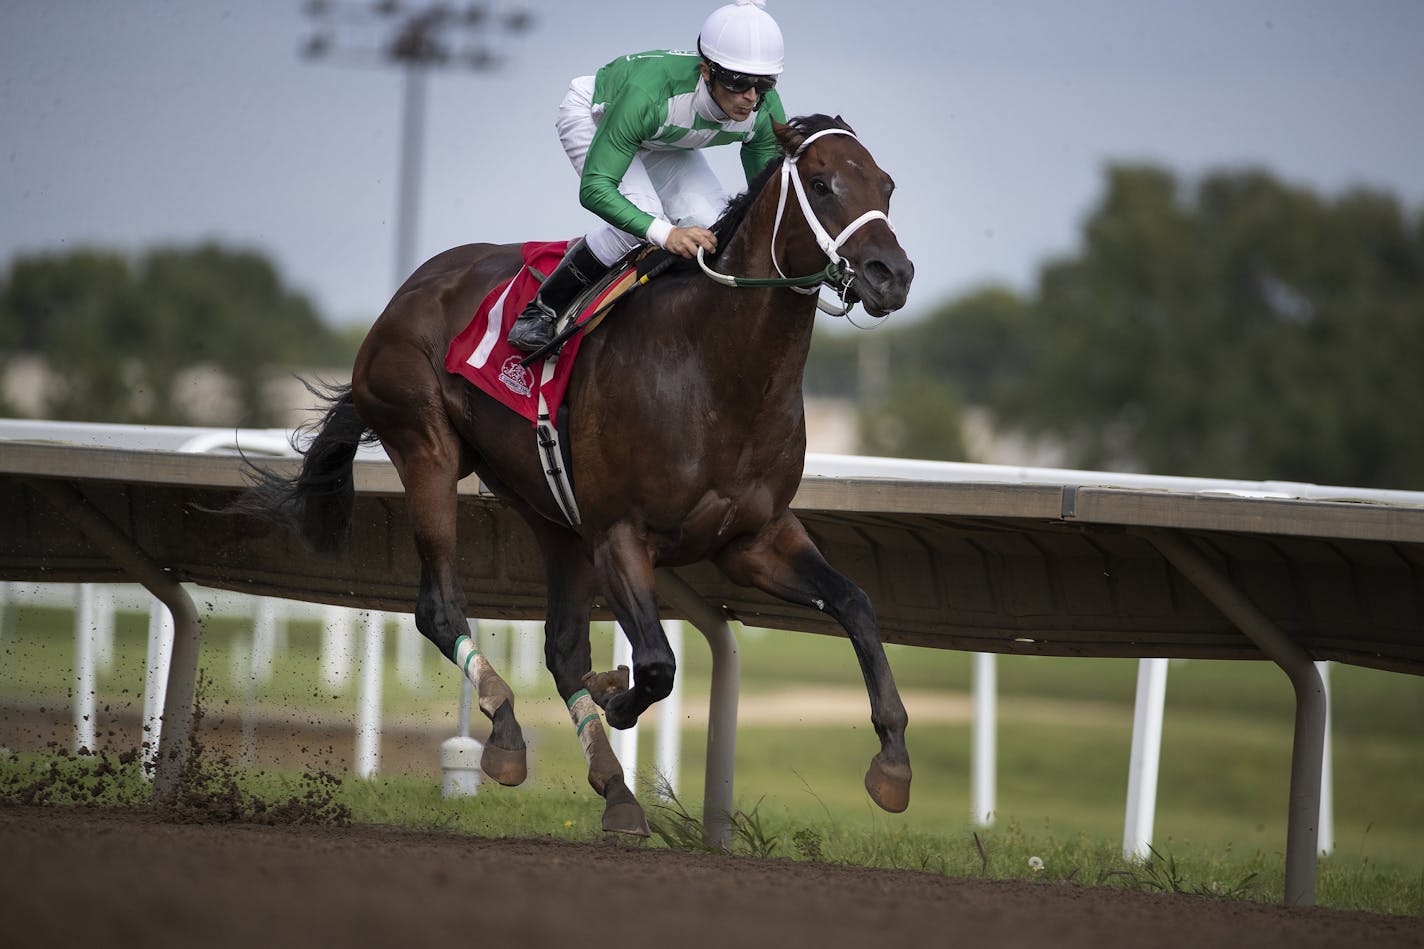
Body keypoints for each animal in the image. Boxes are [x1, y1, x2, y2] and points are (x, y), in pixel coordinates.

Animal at [236, 114, 911, 832]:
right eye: (822, 182)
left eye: (886, 184)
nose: (892, 274)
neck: (714, 372)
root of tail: (413, 288)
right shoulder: (620, 535)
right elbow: (658, 663)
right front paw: (617, 698)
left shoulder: (753, 540)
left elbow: (855, 602)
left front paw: (893, 759)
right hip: (426, 446)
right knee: (440, 608)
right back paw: (506, 729)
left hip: (549, 509)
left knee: (561, 648)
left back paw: (615, 789)